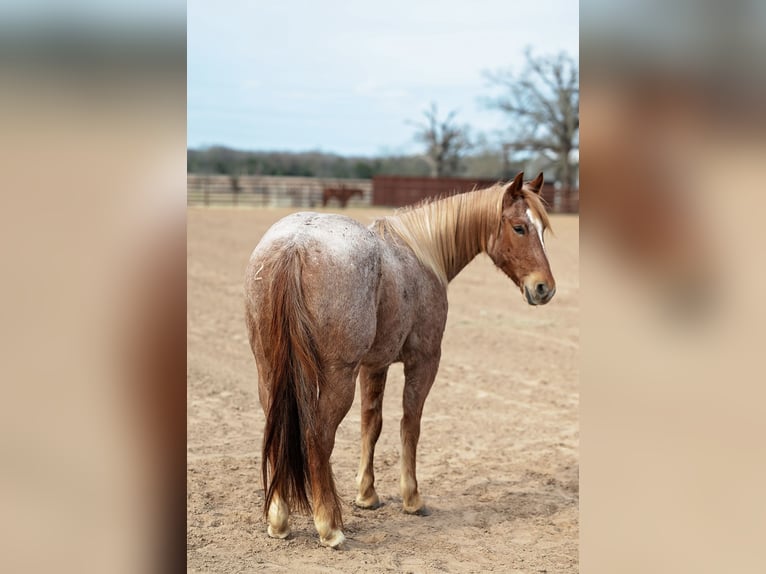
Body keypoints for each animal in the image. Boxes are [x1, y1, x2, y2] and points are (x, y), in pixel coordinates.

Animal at [244, 171, 555, 548]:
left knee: (277, 431)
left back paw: (279, 519)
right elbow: (411, 424)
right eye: (519, 227)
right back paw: (329, 526)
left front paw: (367, 495)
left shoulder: (374, 366)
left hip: (269, 371)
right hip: (336, 377)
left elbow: (372, 424)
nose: (544, 288)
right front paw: (412, 498)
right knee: (318, 437)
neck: (421, 255)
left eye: (542, 227)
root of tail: (296, 244)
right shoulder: (423, 361)